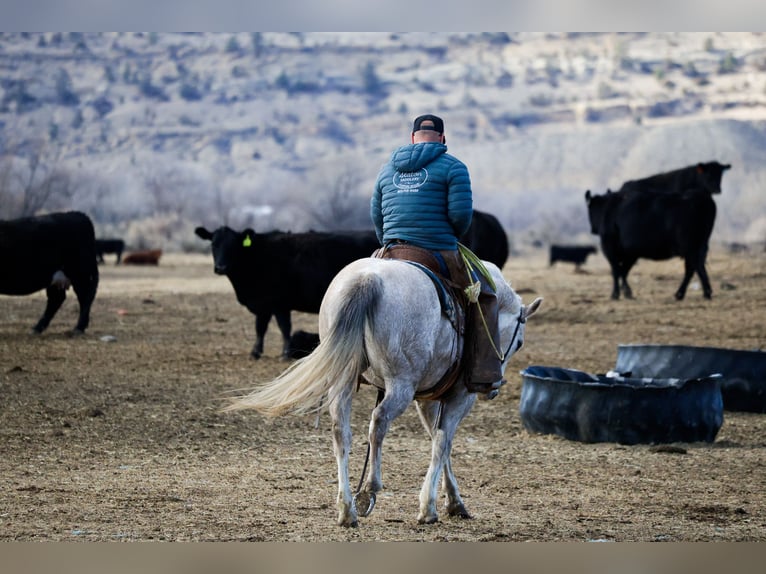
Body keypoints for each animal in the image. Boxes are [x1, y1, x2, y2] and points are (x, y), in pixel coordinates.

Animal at [224, 256, 542, 527]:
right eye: (520, 342)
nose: (494, 388)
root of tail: (367, 279)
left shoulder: (427, 400)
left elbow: (439, 440)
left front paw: (452, 502)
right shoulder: (460, 396)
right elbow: (442, 441)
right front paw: (430, 507)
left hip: (344, 381)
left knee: (342, 432)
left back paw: (347, 509)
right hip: (400, 386)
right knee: (379, 421)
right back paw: (370, 487)